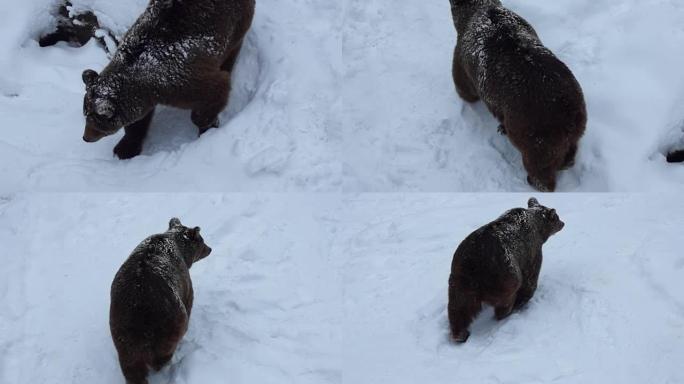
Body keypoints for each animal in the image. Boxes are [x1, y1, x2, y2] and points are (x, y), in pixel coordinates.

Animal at [80, 0, 255, 159]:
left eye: (96, 122)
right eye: (85, 114)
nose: (85, 138)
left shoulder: (179, 81)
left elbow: (216, 89)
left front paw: (207, 124)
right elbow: (138, 122)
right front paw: (125, 148)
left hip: (235, 22)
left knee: (232, 49)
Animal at [110, 219, 211, 384]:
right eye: (202, 240)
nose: (210, 248)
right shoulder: (184, 281)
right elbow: (189, 299)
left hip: (122, 334)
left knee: (131, 367)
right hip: (169, 323)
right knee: (164, 353)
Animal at [446, 198, 564, 342]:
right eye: (556, 217)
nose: (563, 223)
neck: (538, 228)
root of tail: (476, 261)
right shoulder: (531, 251)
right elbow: (530, 278)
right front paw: (523, 300)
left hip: (460, 276)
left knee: (459, 307)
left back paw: (460, 334)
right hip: (505, 274)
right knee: (507, 297)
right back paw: (508, 311)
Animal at [448, 0, 588, 192]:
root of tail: (568, 110)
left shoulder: (461, 60)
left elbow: (464, 88)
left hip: (537, 135)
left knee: (539, 166)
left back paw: (535, 181)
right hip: (574, 126)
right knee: (570, 150)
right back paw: (566, 162)